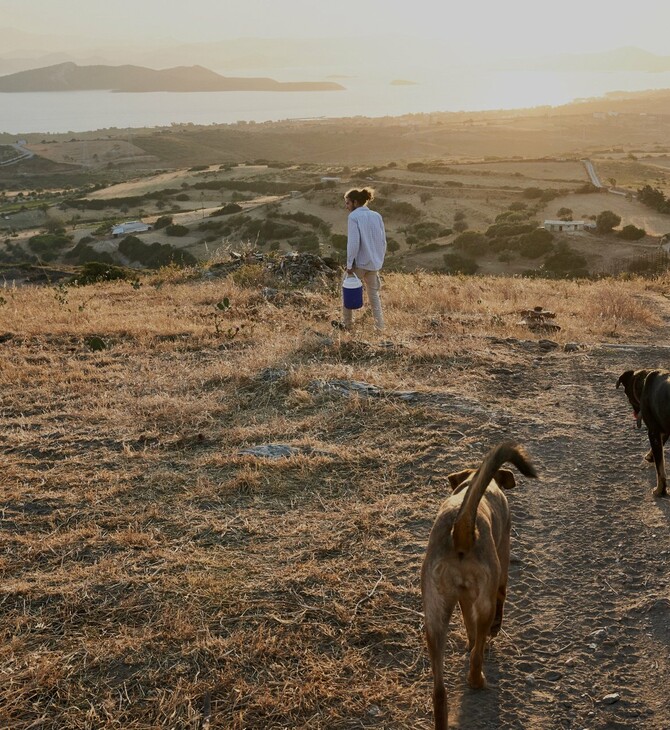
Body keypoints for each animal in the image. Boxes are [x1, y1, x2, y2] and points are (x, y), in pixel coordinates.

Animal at [422, 438, 540, 728]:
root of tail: (462, 528)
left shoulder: (465, 599)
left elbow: (469, 626)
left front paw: (471, 640)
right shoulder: (503, 560)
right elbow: (500, 600)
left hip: (434, 619)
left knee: (439, 691)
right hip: (485, 599)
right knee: (477, 656)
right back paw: (478, 679)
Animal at [620, 366, 670, 498]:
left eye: (626, 393)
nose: (635, 413)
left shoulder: (653, 431)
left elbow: (660, 469)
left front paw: (660, 490)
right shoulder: (662, 427)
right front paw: (650, 456)